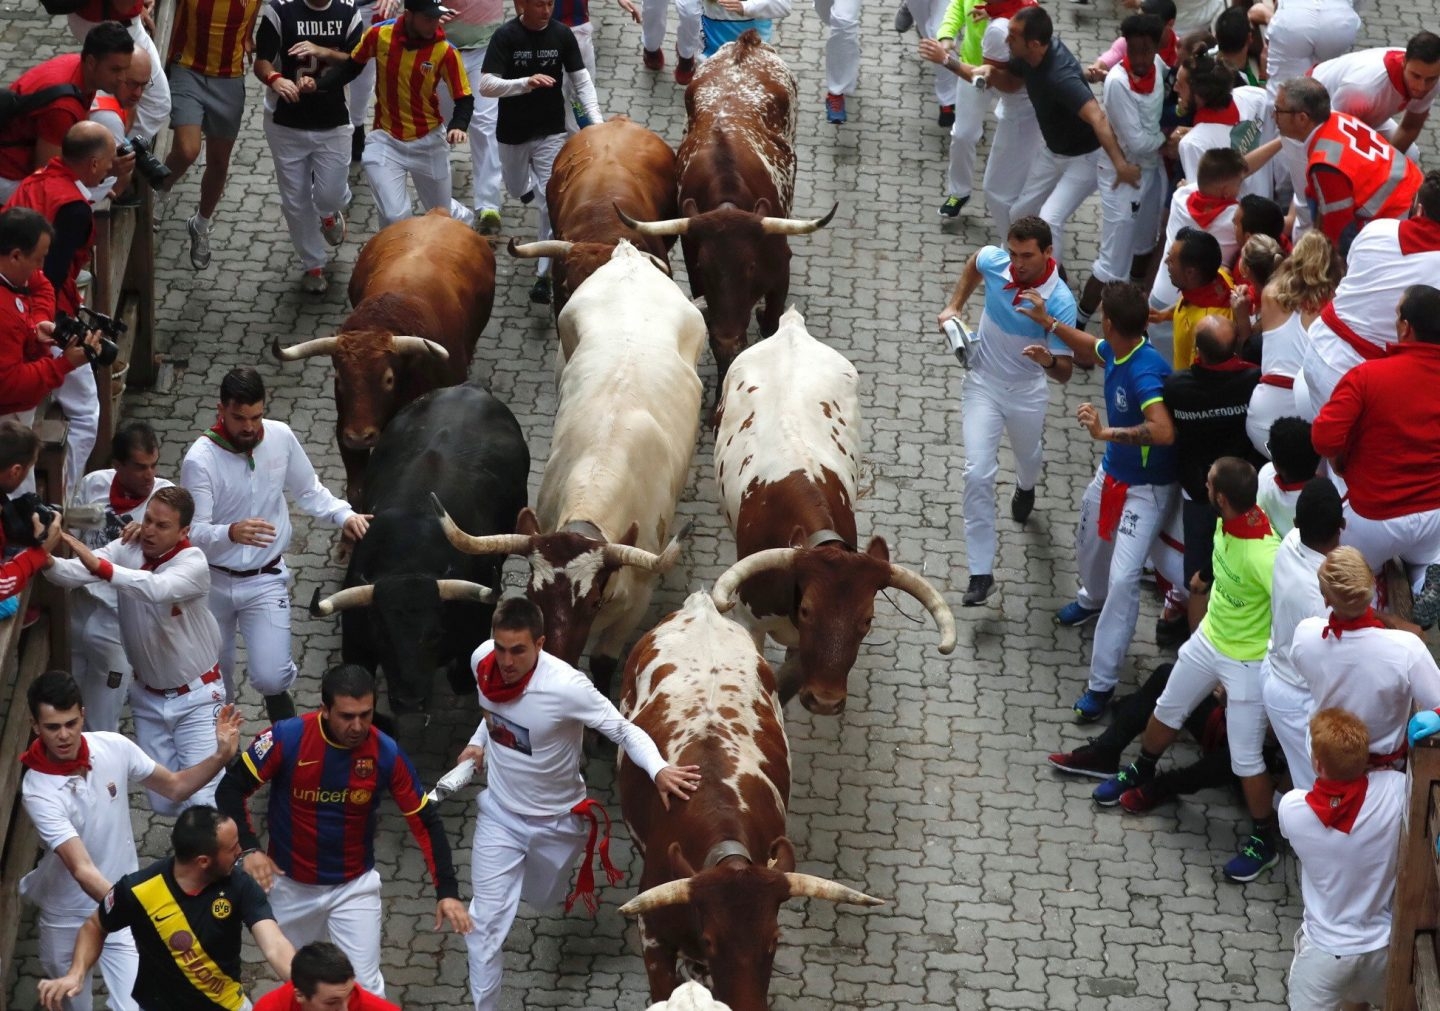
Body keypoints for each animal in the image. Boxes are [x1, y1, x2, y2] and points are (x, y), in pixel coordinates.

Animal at [270, 207, 495, 504]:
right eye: (339, 379)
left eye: (388, 379)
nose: (359, 437)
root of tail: (437, 214)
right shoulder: (345, 425)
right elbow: (356, 489)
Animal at [616, 29, 840, 394]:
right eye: (703, 267)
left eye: (750, 265)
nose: (729, 333)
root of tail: (745, 43)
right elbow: (722, 345)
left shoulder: (780, 272)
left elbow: (770, 325)